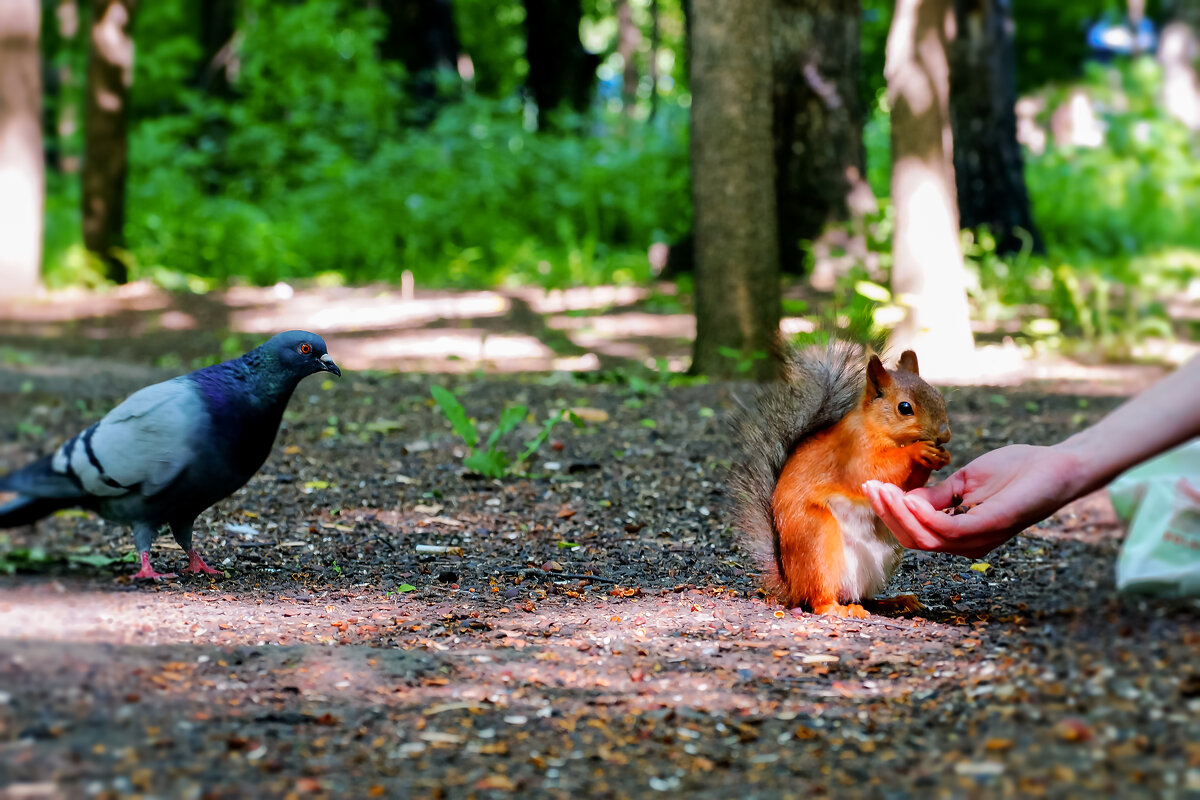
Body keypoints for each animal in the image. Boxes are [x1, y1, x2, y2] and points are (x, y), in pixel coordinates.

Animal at [724, 343, 950, 618]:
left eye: (938, 396)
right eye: (905, 408)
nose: (945, 435)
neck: (875, 427)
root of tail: (791, 585)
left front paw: (941, 456)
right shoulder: (851, 454)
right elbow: (870, 472)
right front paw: (917, 451)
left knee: (862, 597)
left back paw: (894, 601)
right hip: (817, 541)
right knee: (819, 598)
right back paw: (837, 608)